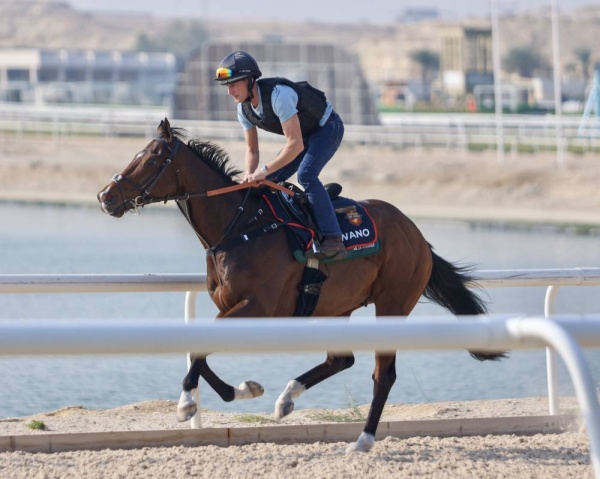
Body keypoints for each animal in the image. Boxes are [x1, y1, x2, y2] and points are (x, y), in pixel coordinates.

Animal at [96, 117, 504, 454]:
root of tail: (416, 234)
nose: (105, 197)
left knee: (383, 375)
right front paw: (244, 389)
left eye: (151, 160)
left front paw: (185, 405)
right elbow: (200, 350)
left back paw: (363, 439)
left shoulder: (257, 308)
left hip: (392, 305)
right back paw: (287, 397)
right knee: (341, 359)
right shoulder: (231, 307)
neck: (241, 228)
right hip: (336, 306)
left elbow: (199, 351)